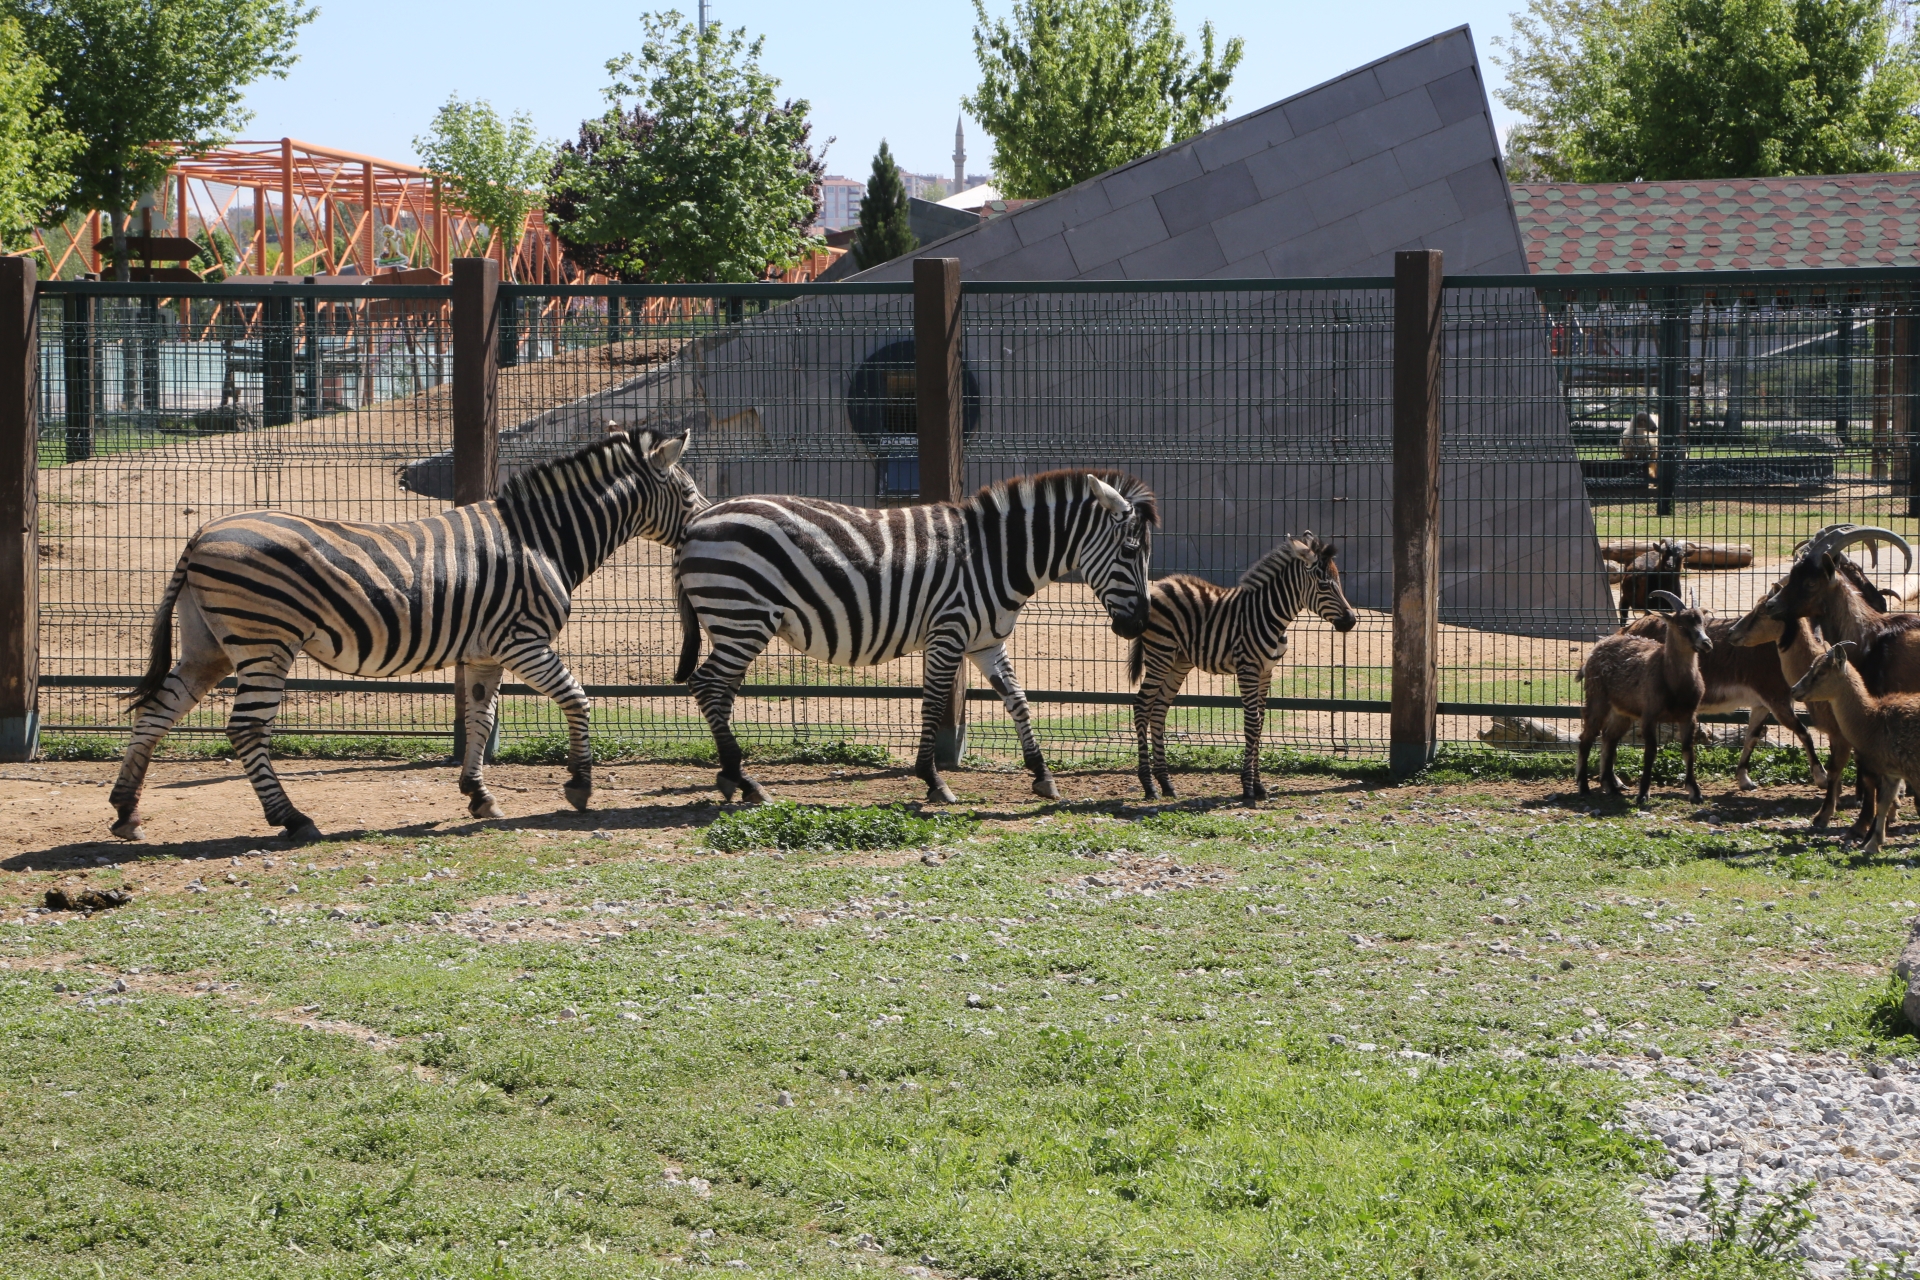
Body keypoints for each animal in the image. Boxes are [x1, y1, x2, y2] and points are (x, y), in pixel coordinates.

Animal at [108, 426, 706, 844]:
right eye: (690, 493)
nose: (704, 527)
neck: (543, 541)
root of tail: (201, 534)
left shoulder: (486, 652)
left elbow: (480, 718)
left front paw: (478, 795)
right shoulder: (523, 641)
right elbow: (578, 699)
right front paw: (579, 784)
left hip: (207, 645)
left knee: (157, 712)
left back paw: (125, 811)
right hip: (266, 643)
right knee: (246, 728)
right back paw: (293, 819)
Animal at [673, 469, 1157, 805]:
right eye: (1131, 551)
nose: (1138, 626)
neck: (994, 559)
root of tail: (695, 522)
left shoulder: (986, 642)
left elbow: (1018, 701)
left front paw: (1042, 775)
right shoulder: (948, 634)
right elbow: (934, 705)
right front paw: (933, 780)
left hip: (734, 622)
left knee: (720, 691)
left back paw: (732, 776)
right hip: (743, 615)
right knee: (707, 685)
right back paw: (744, 779)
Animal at [1129, 533, 1357, 802]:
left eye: (1338, 582)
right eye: (1324, 585)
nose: (1352, 621)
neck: (1269, 614)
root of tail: (1159, 585)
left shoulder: (1266, 672)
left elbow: (1260, 724)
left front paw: (1259, 786)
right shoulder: (1248, 668)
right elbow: (1251, 723)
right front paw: (1248, 787)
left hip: (1178, 661)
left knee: (1158, 710)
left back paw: (1166, 783)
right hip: (1160, 653)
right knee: (1142, 705)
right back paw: (1148, 786)